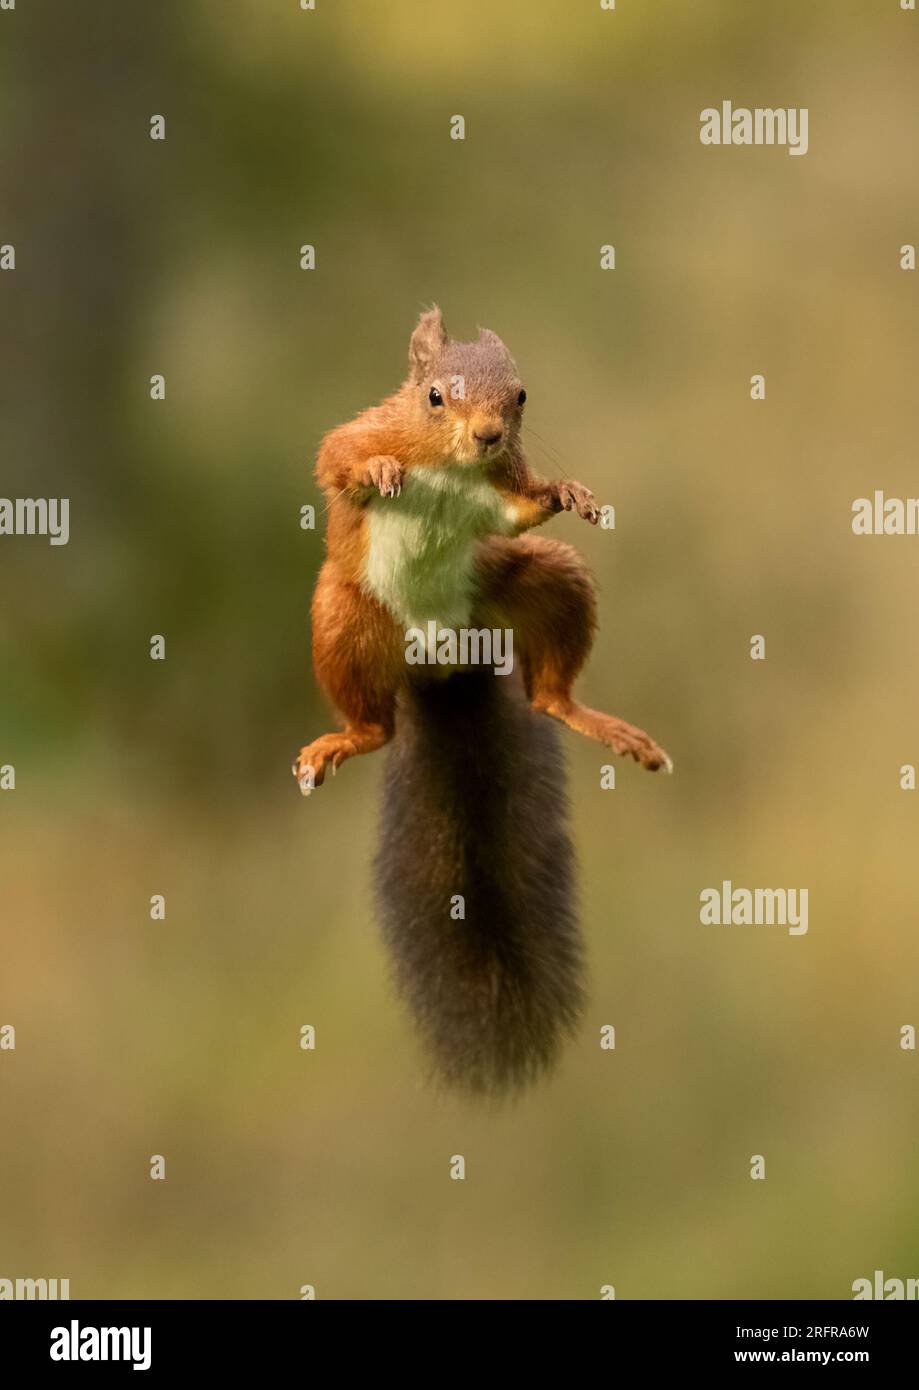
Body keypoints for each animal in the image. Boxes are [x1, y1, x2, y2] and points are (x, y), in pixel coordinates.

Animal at [297, 307, 670, 1095]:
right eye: (434, 396)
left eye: (521, 395)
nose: (489, 436)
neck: (449, 467)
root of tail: (440, 662)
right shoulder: (366, 429)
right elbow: (336, 457)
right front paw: (377, 473)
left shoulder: (501, 498)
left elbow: (519, 511)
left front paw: (566, 493)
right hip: (342, 619)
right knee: (374, 727)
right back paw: (342, 740)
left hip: (543, 581)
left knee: (549, 696)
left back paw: (600, 723)